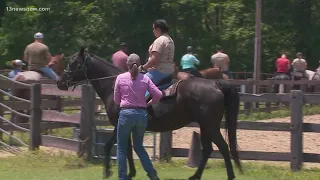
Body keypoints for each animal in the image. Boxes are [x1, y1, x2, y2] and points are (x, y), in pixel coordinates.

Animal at [57, 48, 242, 180]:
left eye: (74, 62)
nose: (60, 82)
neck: (114, 84)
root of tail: (216, 84)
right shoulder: (127, 125)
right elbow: (129, 148)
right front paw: (130, 173)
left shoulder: (119, 123)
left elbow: (111, 145)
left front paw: (107, 172)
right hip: (205, 126)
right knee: (209, 149)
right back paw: (195, 176)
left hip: (210, 125)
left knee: (223, 147)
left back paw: (230, 175)